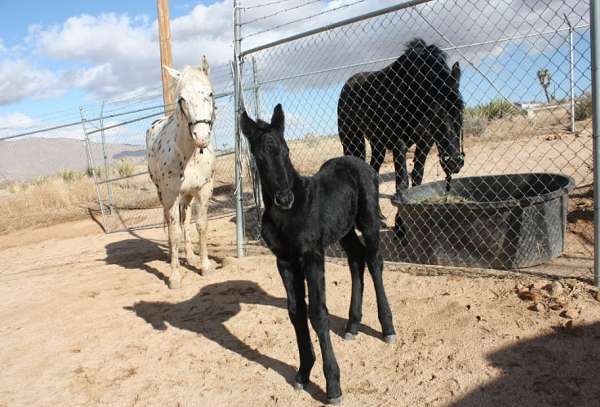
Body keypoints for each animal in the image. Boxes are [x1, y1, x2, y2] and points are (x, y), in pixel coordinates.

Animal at [146, 56, 217, 290]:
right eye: (181, 99)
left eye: (210, 93)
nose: (201, 137)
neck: (188, 155)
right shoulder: (170, 196)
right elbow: (174, 232)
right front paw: (175, 276)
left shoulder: (204, 190)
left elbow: (201, 226)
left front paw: (204, 266)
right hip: (165, 196)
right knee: (172, 224)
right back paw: (172, 257)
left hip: (186, 196)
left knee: (185, 220)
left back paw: (190, 255)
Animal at [239, 105, 398, 404]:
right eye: (259, 156)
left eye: (286, 150)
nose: (284, 199)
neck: (287, 216)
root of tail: (361, 163)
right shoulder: (285, 261)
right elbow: (296, 312)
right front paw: (303, 373)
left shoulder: (312, 256)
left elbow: (317, 314)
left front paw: (333, 385)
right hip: (344, 230)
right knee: (356, 259)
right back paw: (352, 325)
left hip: (369, 221)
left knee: (374, 262)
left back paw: (387, 328)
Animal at [338, 38, 464, 204]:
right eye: (435, 114)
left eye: (460, 110)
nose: (454, 162)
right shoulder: (399, 143)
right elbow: (402, 183)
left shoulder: (425, 142)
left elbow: (417, 176)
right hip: (351, 139)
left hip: (377, 144)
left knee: (374, 168)